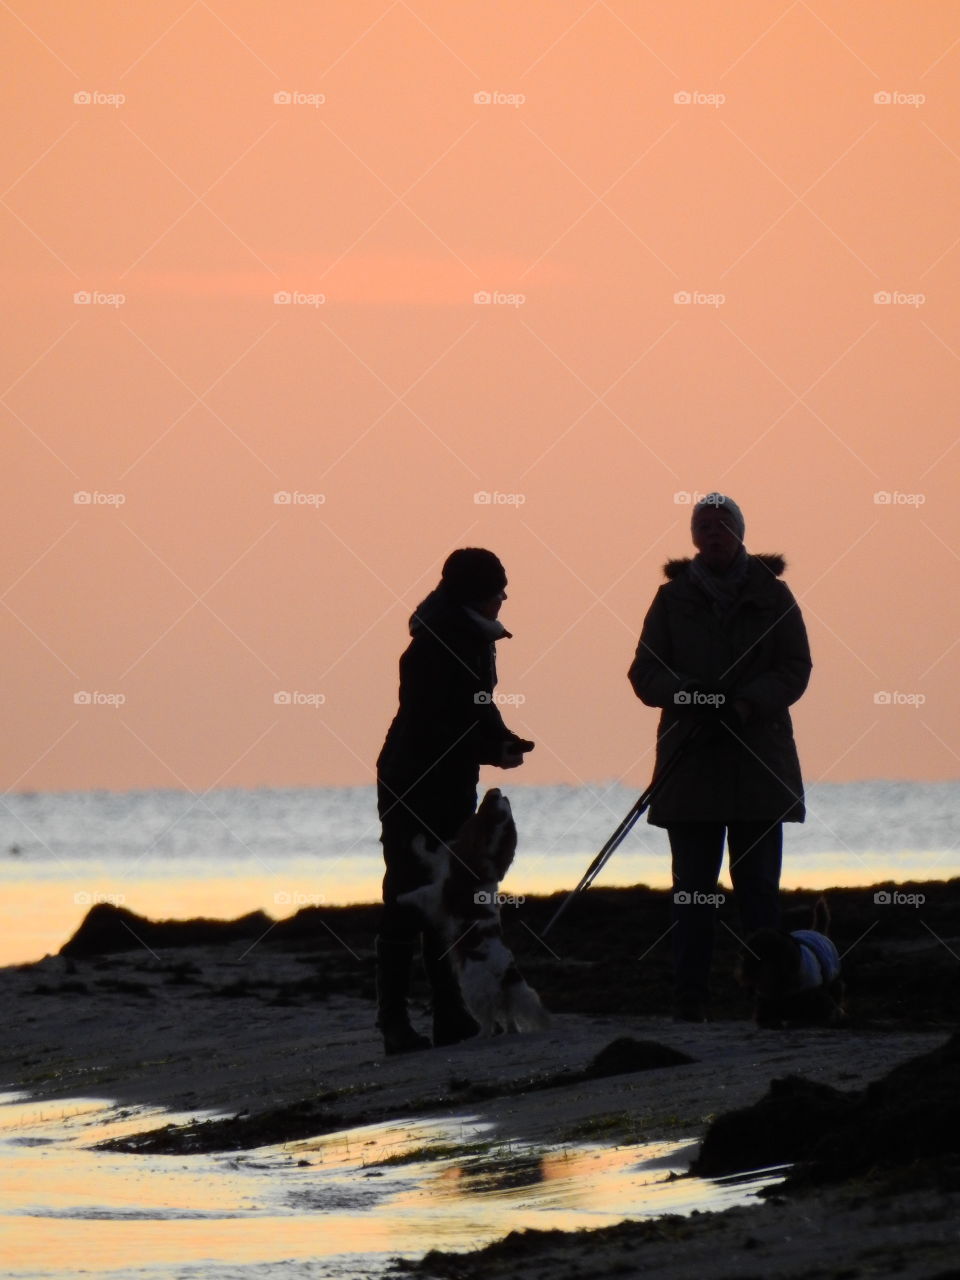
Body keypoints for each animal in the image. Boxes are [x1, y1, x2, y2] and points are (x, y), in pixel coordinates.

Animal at [399, 783, 547, 1034]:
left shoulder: (438, 893)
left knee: (489, 1021)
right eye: (504, 808)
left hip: (473, 989)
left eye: (493, 807)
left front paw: (399, 898)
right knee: (508, 1016)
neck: (485, 856)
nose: (498, 791)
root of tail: (507, 972)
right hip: (504, 994)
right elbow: (430, 855)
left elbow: (420, 889)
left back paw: (480, 1036)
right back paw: (510, 1031)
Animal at [742, 901, 844, 1029]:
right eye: (752, 954)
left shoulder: (815, 996)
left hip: (833, 982)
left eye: (771, 955)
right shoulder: (767, 1000)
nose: (753, 972)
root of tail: (817, 931)